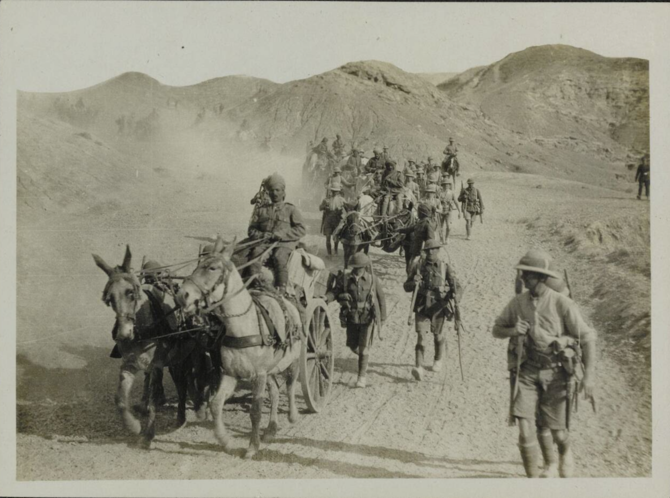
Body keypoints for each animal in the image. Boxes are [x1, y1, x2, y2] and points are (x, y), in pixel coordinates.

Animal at [94, 247, 213, 446]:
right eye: (109, 298)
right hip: (177, 359)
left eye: (131, 293)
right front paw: (134, 426)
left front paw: (148, 434)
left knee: (194, 378)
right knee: (182, 383)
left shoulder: (156, 365)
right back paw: (182, 416)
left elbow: (152, 399)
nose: (123, 334)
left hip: (194, 352)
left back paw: (198, 408)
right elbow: (120, 399)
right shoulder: (129, 364)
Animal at [178, 237, 304, 460]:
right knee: (275, 391)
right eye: (196, 265)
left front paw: (252, 446)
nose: (182, 295)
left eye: (212, 267)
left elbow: (255, 410)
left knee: (289, 385)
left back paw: (292, 416)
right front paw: (226, 441)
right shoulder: (231, 374)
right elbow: (216, 405)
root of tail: (286, 299)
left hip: (293, 359)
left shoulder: (258, 375)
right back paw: (270, 429)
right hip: (270, 370)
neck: (244, 326)